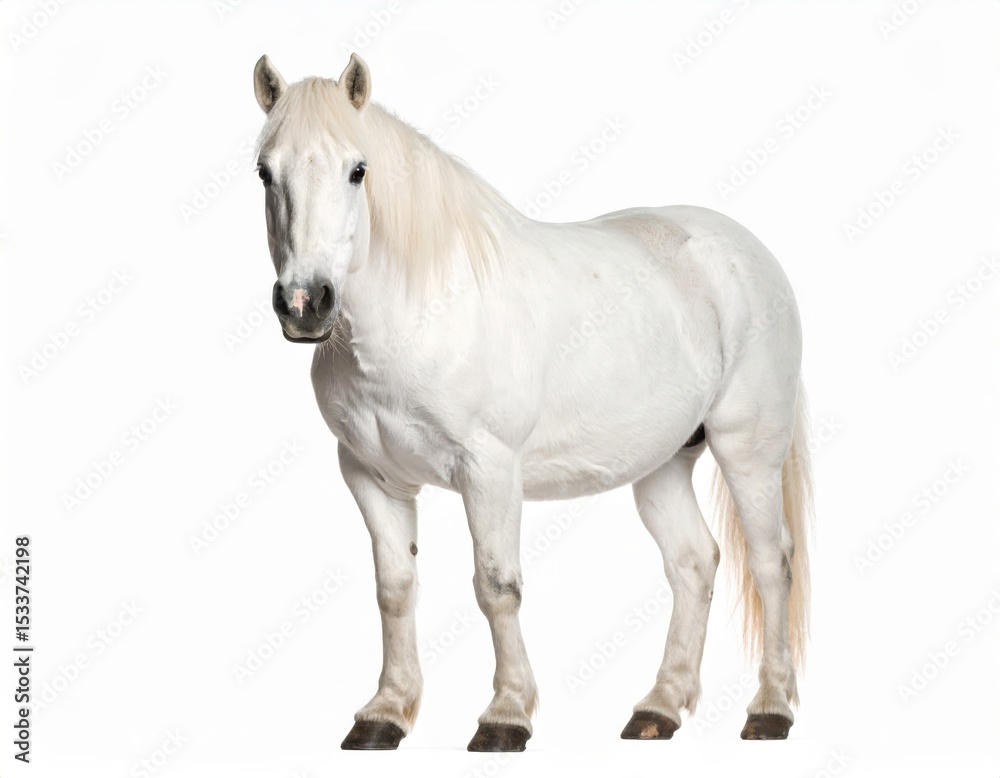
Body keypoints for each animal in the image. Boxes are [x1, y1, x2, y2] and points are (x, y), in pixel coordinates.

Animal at [251, 53, 813, 752]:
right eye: (264, 171)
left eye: (358, 169)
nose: (305, 304)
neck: (420, 310)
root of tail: (749, 251)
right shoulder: (369, 474)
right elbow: (395, 589)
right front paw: (386, 712)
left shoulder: (489, 470)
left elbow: (496, 586)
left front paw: (506, 715)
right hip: (662, 463)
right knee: (693, 562)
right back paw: (659, 707)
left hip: (748, 453)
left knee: (770, 563)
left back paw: (771, 708)